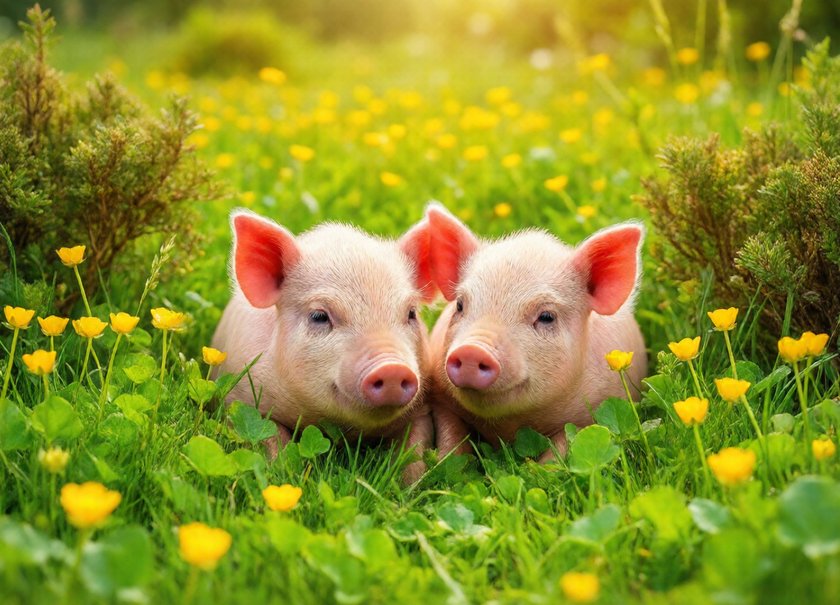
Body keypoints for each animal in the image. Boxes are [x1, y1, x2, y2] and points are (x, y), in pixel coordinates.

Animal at [211, 209, 436, 481]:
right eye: (319, 316)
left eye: (411, 313)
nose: (392, 368)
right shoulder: (241, 397)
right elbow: (271, 437)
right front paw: (285, 475)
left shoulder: (422, 410)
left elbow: (413, 451)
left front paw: (410, 485)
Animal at [425, 203, 647, 460]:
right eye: (460, 305)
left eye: (546, 316)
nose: (472, 350)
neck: (509, 425)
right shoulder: (442, 401)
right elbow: (452, 441)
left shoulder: (590, 413)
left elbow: (558, 452)